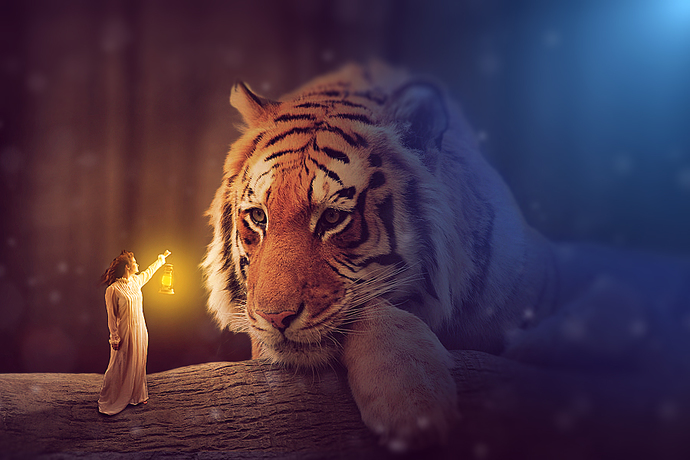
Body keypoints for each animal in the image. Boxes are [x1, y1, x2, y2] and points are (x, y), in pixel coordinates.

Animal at [201, 61, 690, 452]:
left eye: (334, 218)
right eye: (258, 217)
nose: (274, 317)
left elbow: (623, 299)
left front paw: (540, 342)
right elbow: (373, 309)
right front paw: (413, 407)